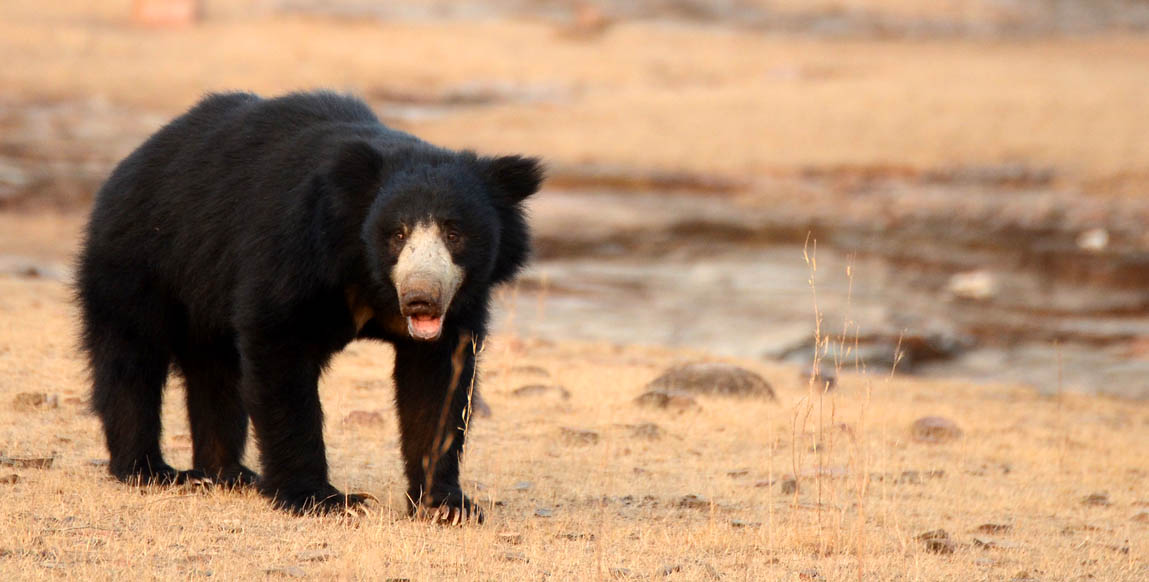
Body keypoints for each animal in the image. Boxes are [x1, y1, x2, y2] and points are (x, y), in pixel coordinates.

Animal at [76, 90, 542, 518]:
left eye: (454, 233)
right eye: (397, 234)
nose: (420, 298)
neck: (368, 277)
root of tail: (131, 162)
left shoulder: (459, 308)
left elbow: (437, 384)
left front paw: (446, 505)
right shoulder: (295, 252)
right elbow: (280, 356)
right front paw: (324, 499)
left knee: (216, 371)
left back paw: (228, 472)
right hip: (143, 258)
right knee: (131, 356)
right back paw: (147, 469)